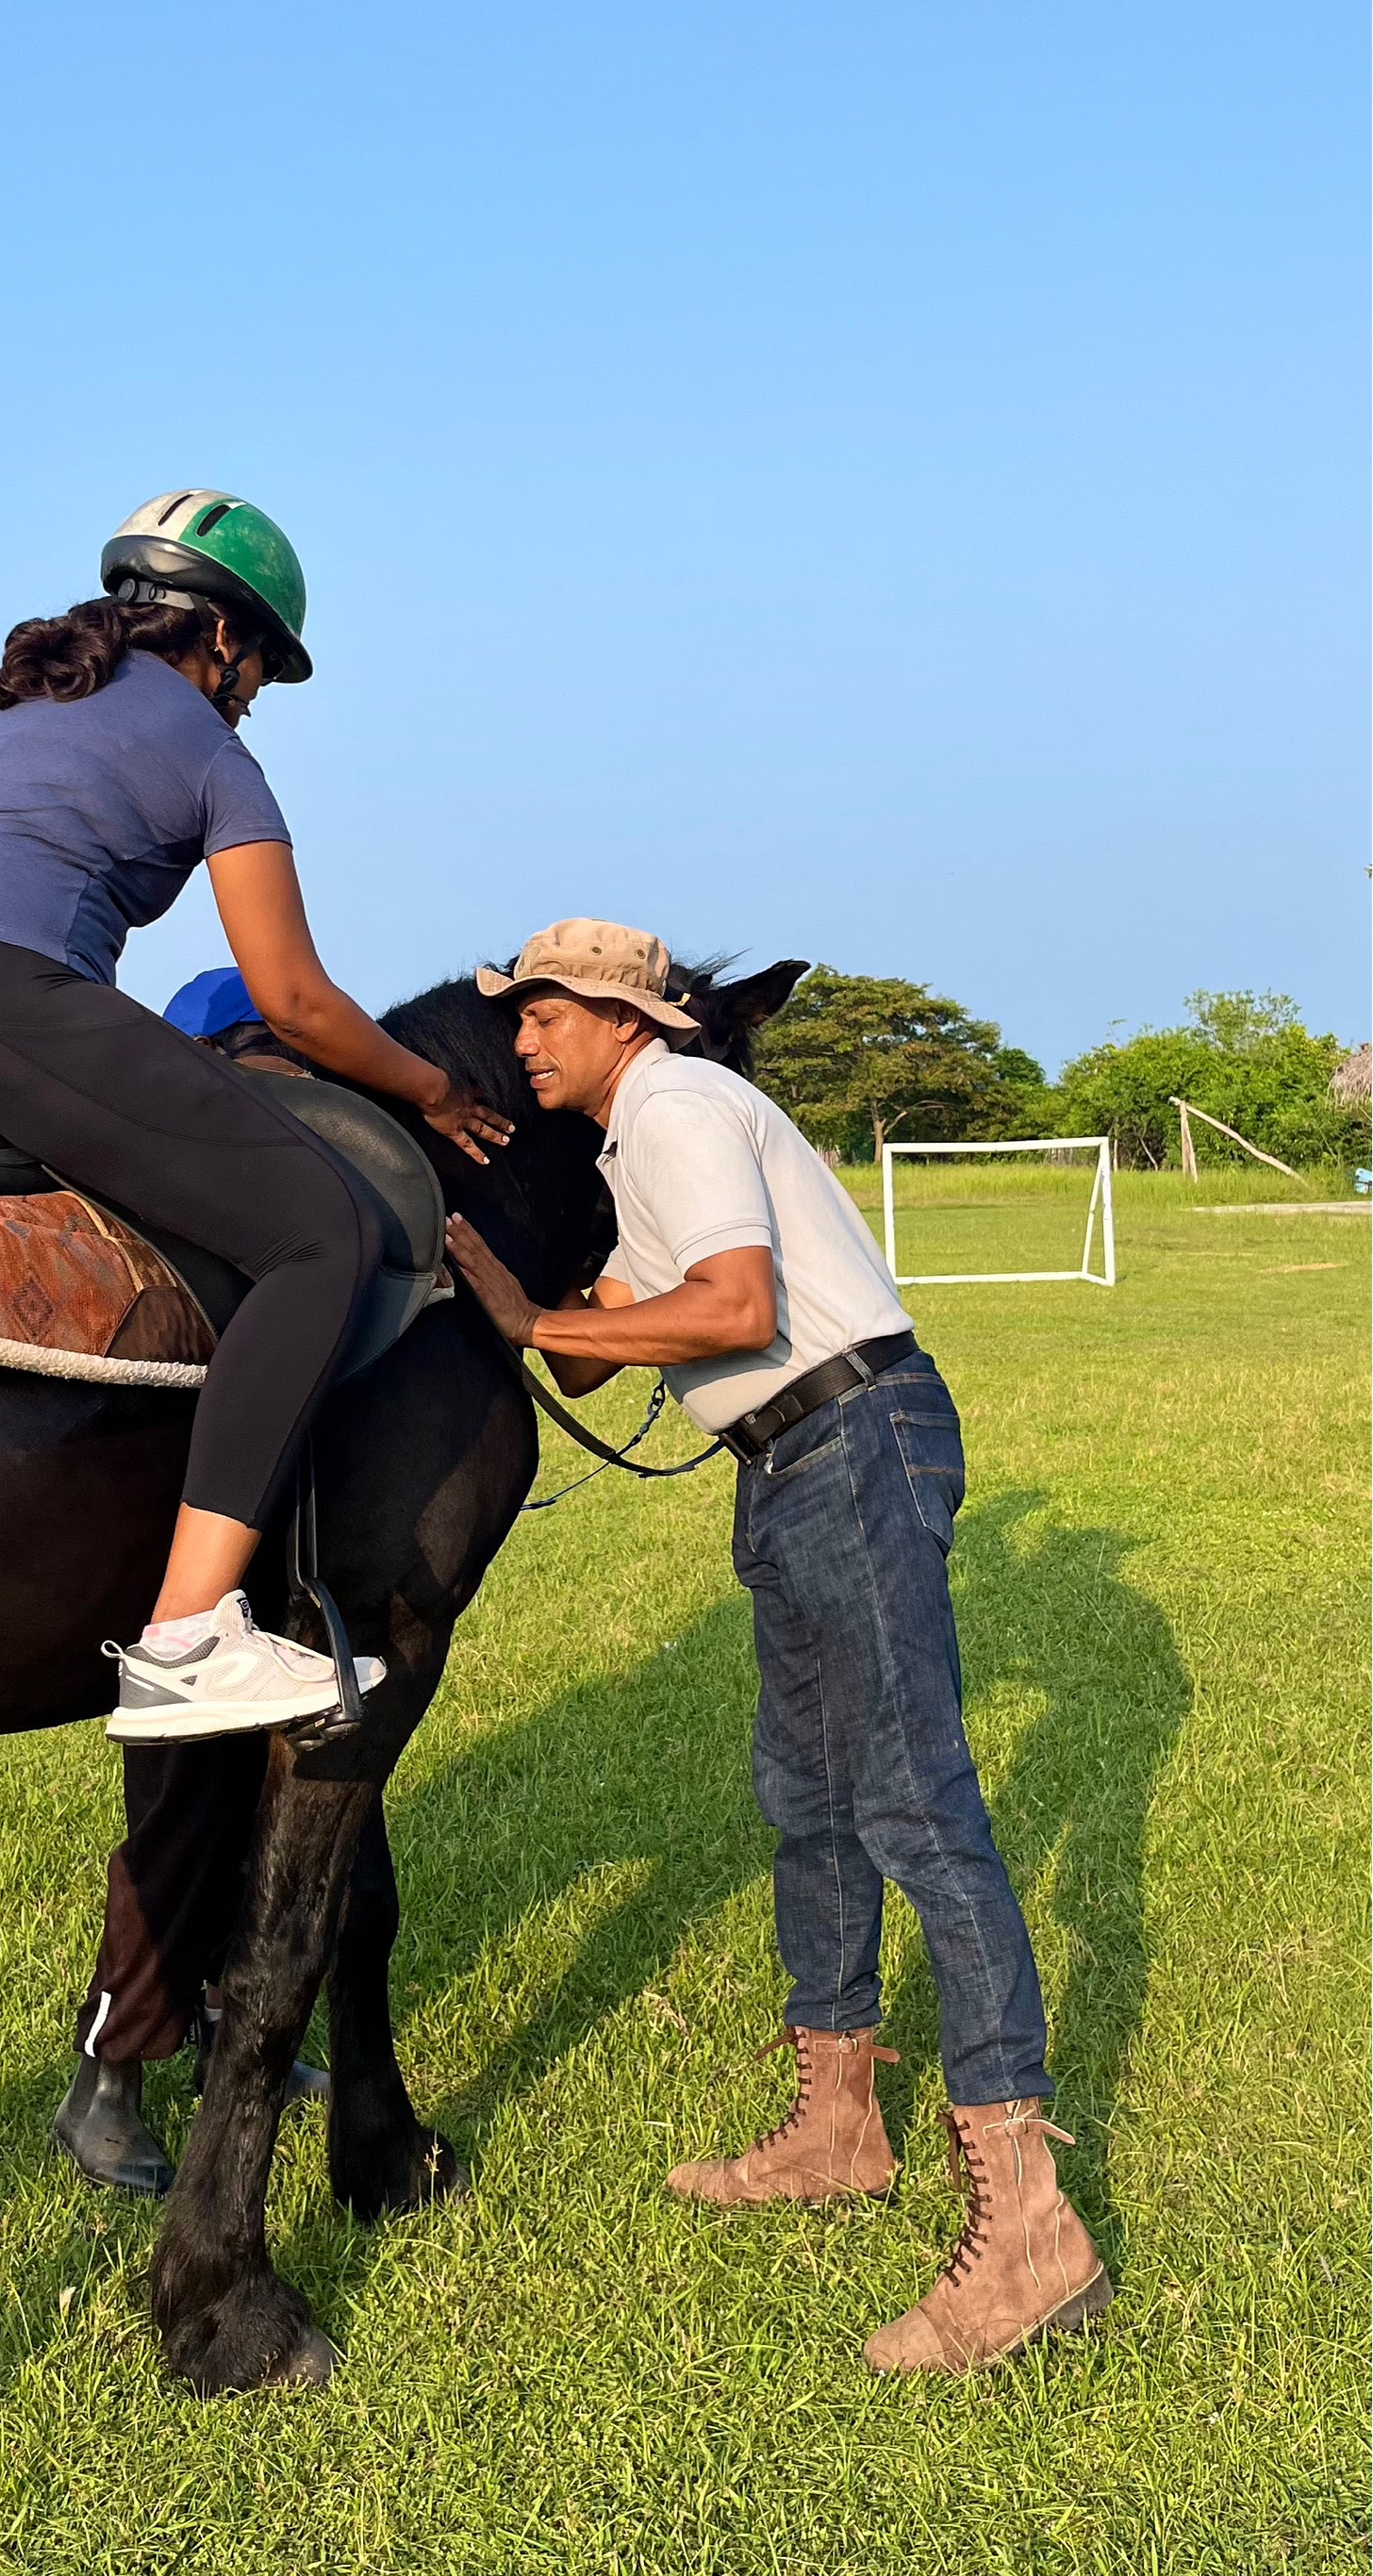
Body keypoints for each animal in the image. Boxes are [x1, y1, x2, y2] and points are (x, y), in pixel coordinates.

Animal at [0, 956, 805, 2393]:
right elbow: (281, 1955)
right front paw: (228, 2303)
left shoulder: (351, 1653)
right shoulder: (391, 1635)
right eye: (728, 1115)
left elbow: (359, 1916)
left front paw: (382, 2157)